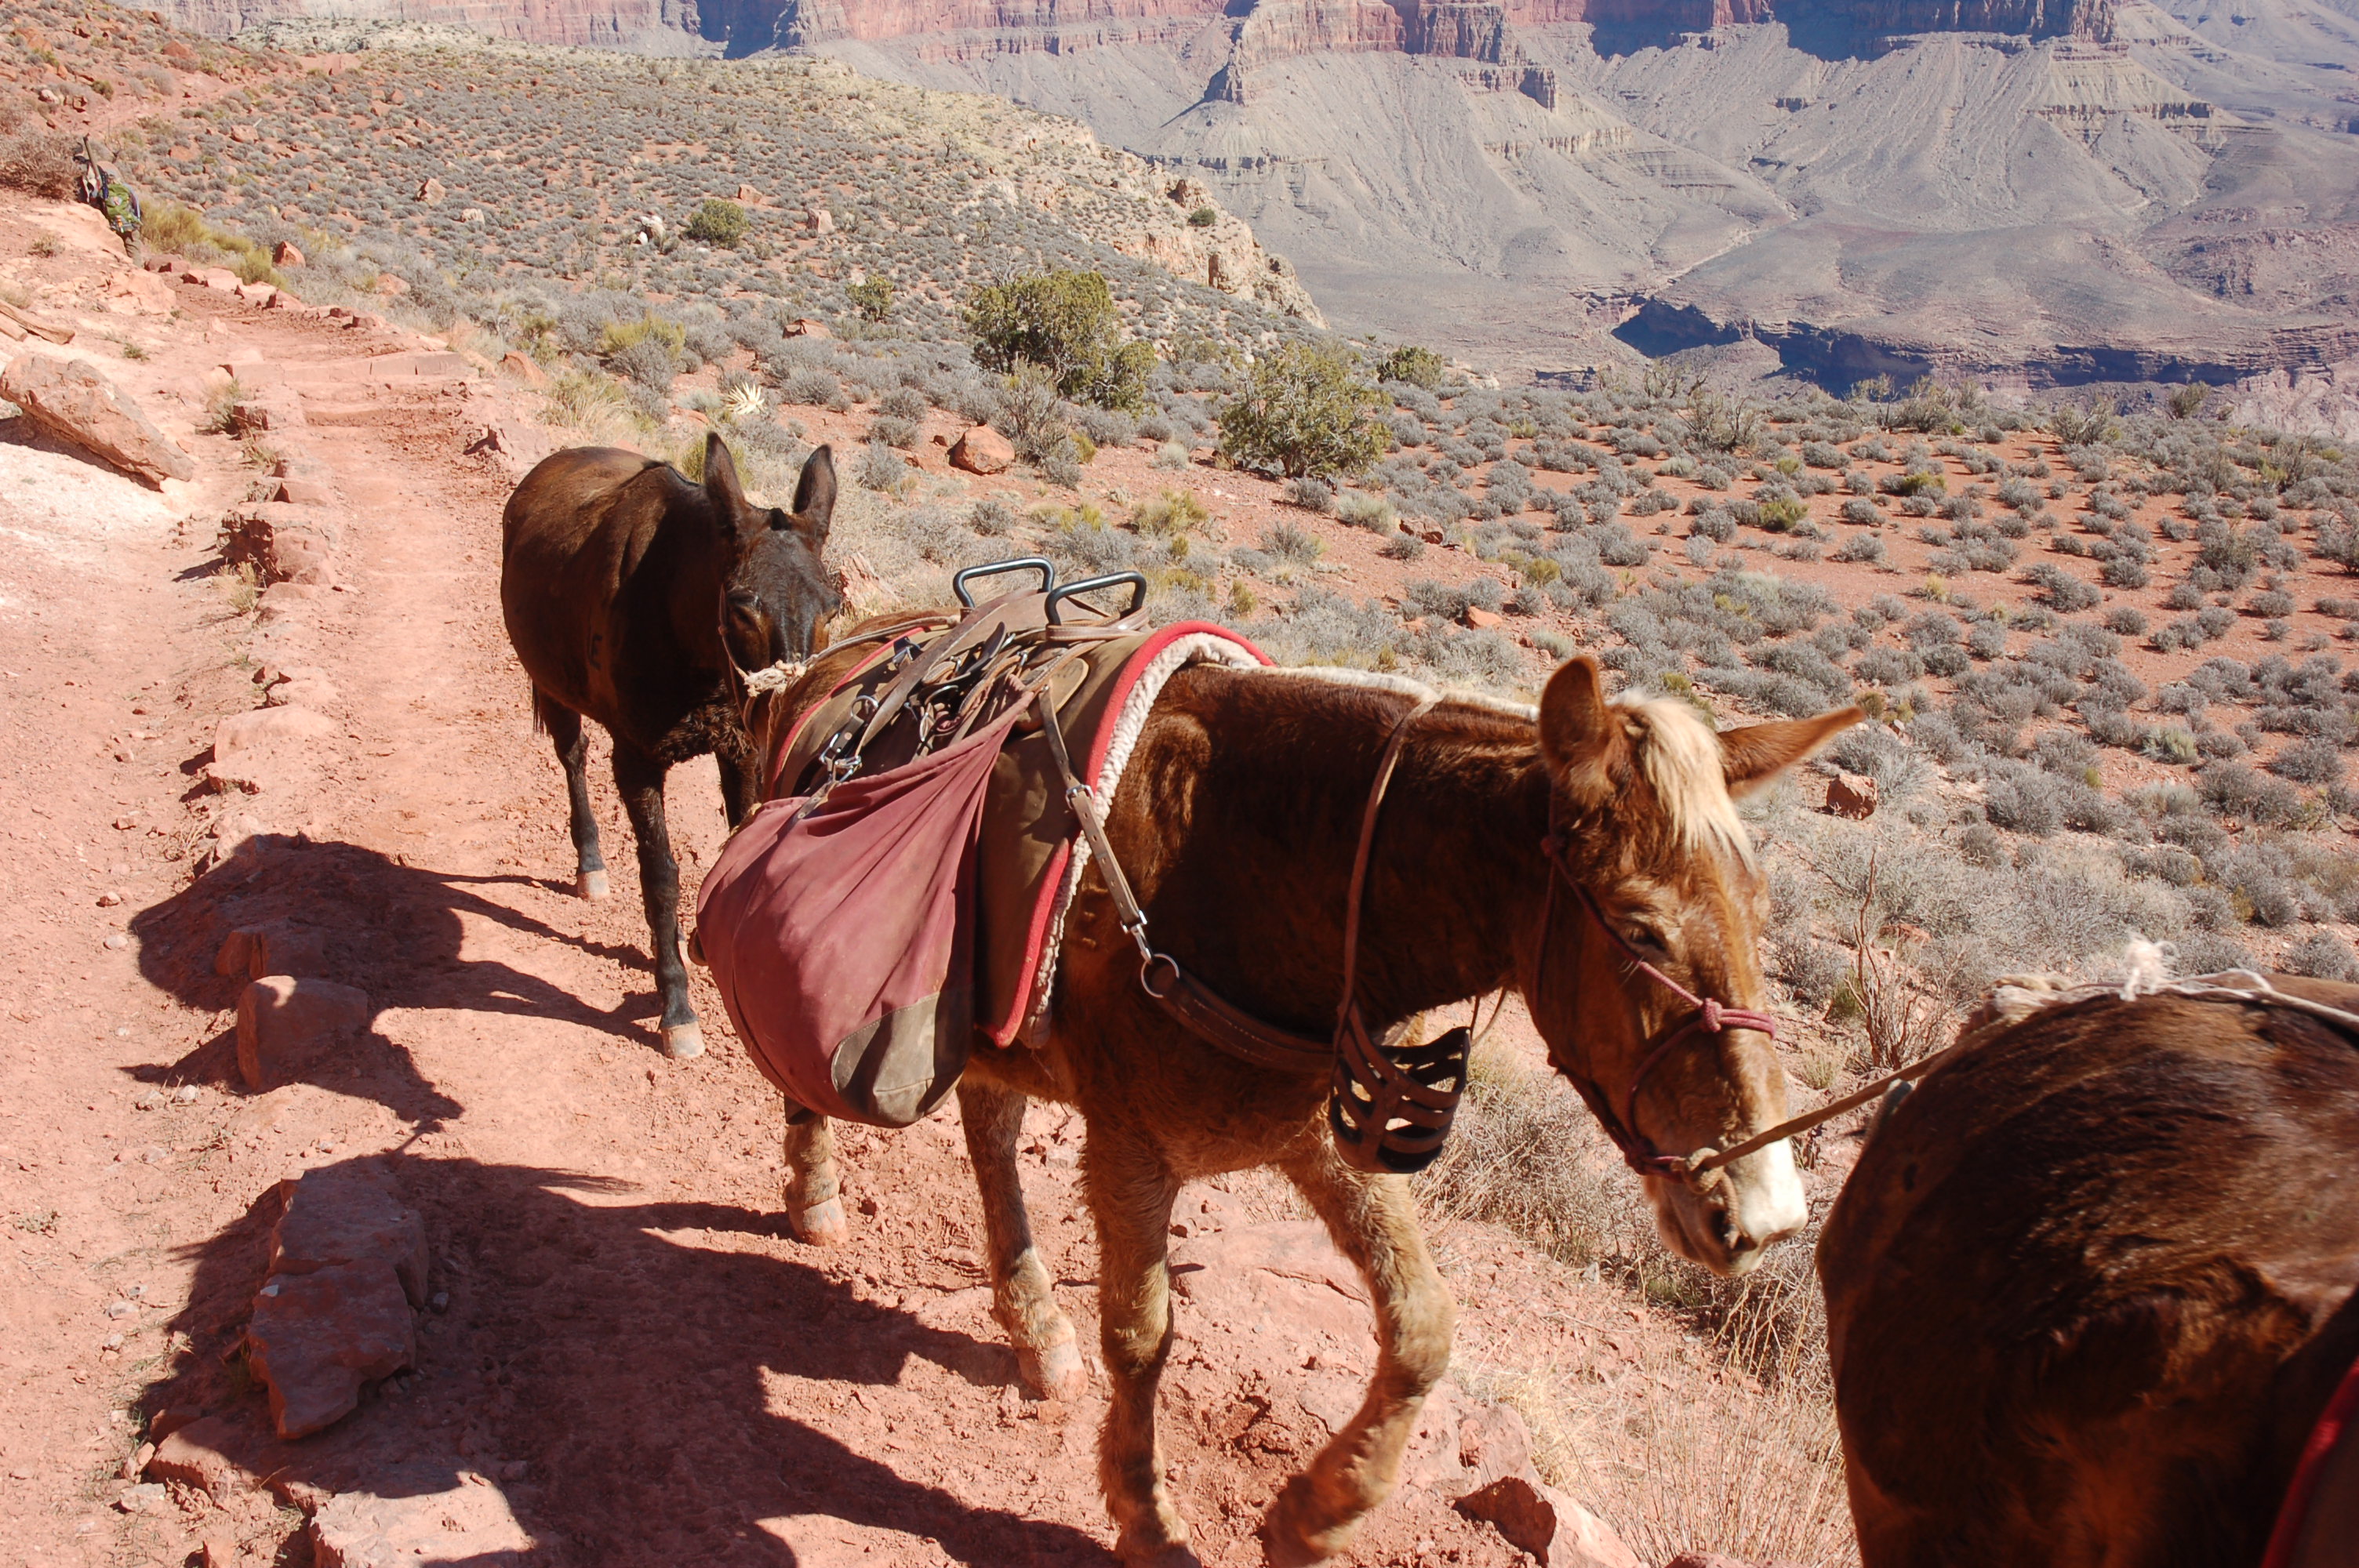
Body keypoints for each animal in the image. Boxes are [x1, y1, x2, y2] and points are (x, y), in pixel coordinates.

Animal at [501, 433, 840, 1058]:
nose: (798, 710)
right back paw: (590, 863)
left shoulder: (740, 751)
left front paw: (709, 941)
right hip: (552, 688)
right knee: (572, 758)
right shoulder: (636, 764)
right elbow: (660, 878)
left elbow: (734, 849)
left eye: (834, 607)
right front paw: (677, 1005)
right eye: (742, 606)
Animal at [748, 646, 1857, 1563]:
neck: (1255, 863)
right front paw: (1148, 1521)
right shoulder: (1131, 1148)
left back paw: (1035, 1330)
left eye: (1760, 915)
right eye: (1639, 927)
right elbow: (1141, 1334)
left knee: (987, 1135)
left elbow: (1424, 1325)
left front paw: (1316, 1512)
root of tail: (835, 658)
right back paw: (815, 1196)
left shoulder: (1320, 1139)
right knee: (803, 1071)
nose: (1765, 1212)